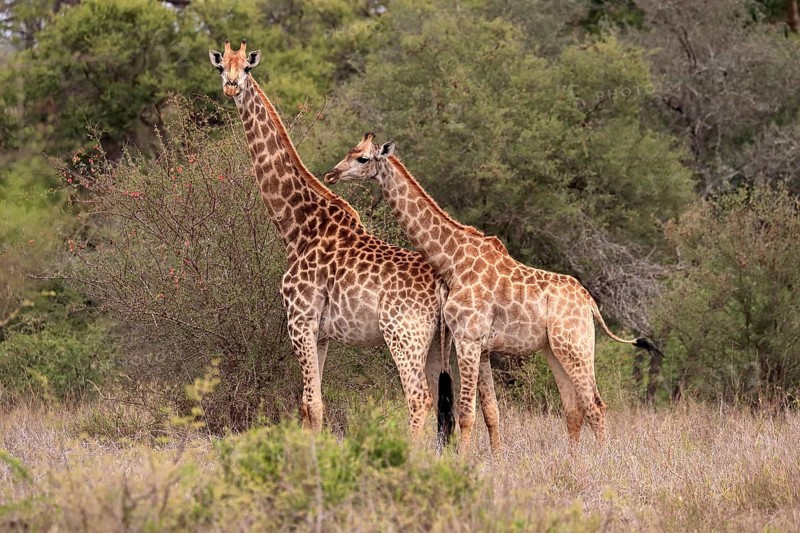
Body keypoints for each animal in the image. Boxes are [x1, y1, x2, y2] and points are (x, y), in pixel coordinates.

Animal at [207, 40, 456, 441]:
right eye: (220, 68)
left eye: (246, 67)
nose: (231, 86)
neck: (296, 227)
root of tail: (442, 284)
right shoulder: (321, 333)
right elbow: (310, 404)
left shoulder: (300, 320)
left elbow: (311, 405)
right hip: (436, 341)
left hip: (403, 335)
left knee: (419, 399)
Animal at [324, 134, 660, 451]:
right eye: (350, 151)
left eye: (363, 158)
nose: (331, 174)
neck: (452, 259)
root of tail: (589, 302)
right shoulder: (483, 348)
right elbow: (491, 412)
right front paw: (496, 460)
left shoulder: (468, 339)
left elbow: (466, 412)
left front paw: (463, 462)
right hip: (555, 350)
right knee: (573, 408)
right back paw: (573, 462)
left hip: (575, 346)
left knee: (595, 405)